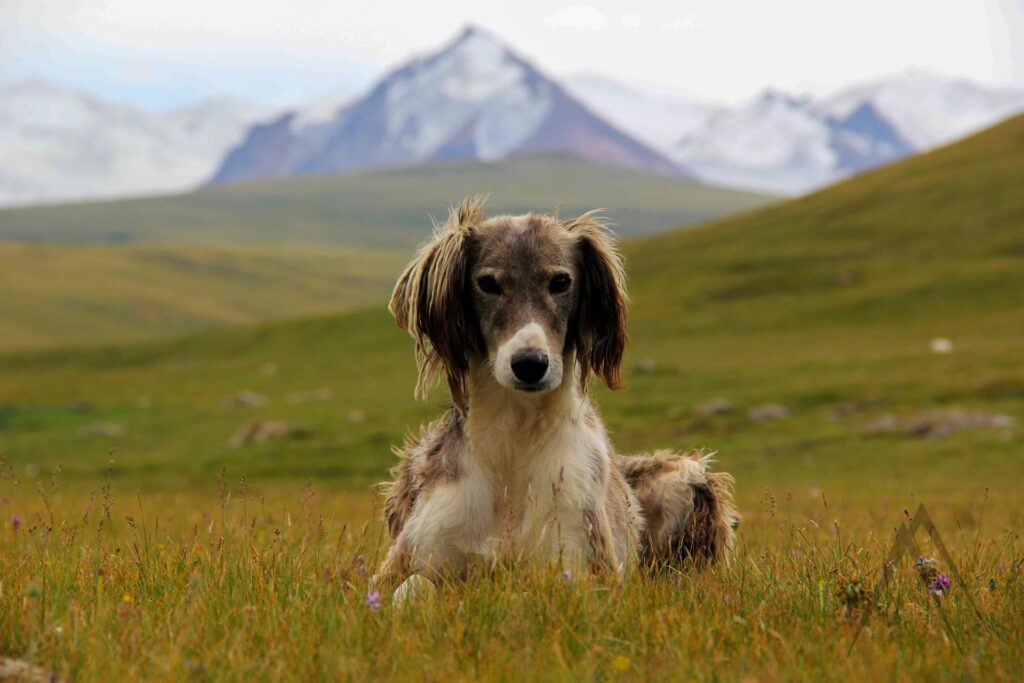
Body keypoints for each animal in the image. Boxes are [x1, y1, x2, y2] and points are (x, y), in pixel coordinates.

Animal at [376, 194, 737, 593]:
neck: (514, 441)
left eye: (561, 281)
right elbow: (411, 586)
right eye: (487, 283)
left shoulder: (583, 569)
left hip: (687, 476)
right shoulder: (407, 558)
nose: (530, 364)